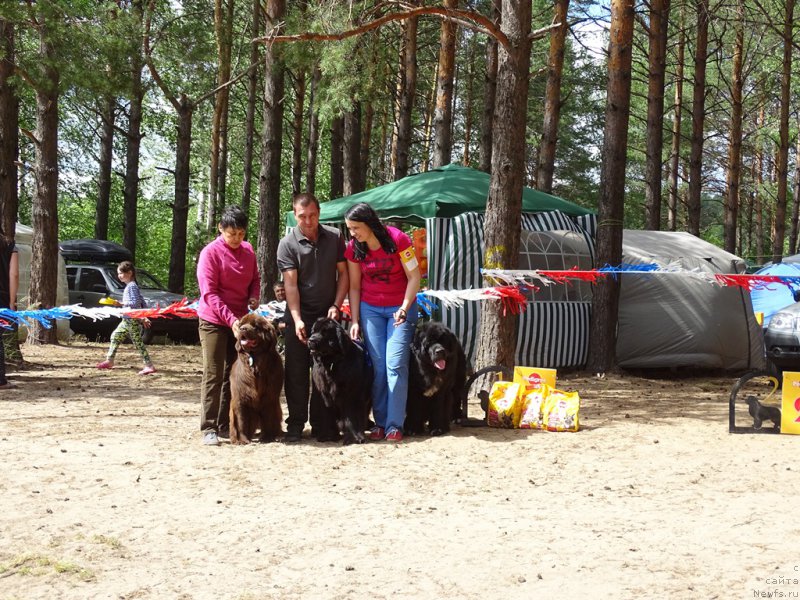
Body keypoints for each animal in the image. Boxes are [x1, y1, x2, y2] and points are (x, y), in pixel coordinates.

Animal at [228, 312, 284, 442]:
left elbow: (269, 417)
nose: (243, 329)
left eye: (256, 326)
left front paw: (268, 437)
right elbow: (241, 420)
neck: (255, 360)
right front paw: (242, 440)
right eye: (241, 325)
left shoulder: (270, 396)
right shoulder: (240, 398)